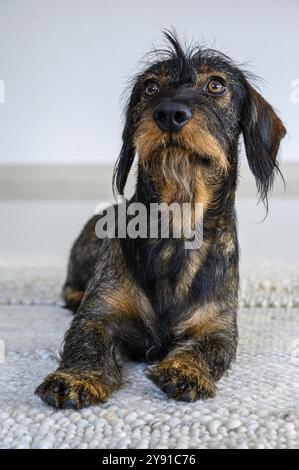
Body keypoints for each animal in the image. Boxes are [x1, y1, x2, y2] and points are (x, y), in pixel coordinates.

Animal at [35, 32, 286, 408]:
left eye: (216, 85)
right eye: (151, 87)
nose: (169, 113)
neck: (177, 225)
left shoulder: (218, 327)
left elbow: (209, 348)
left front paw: (185, 370)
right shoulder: (100, 314)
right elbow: (86, 338)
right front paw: (76, 378)